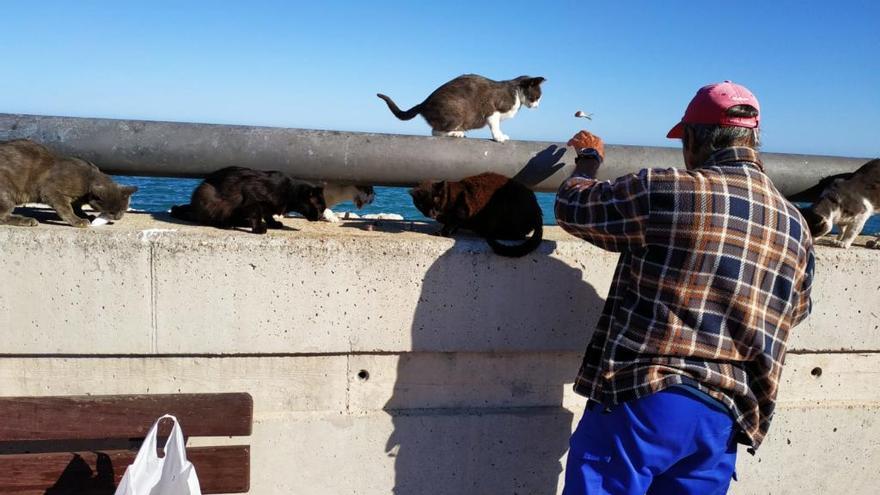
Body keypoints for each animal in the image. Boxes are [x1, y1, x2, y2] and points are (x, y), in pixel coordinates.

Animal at [0, 140, 138, 229]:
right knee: (2, 216)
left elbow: (77, 207)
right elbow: (66, 209)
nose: (118, 218)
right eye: (111, 212)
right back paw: (25, 220)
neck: (89, 178)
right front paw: (78, 221)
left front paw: (85, 215)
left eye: (123, 210)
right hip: (6, 192)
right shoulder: (51, 191)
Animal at [169, 167, 326, 234]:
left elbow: (267, 214)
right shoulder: (252, 197)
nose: (320, 217)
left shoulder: (266, 207)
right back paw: (227, 224)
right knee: (210, 219)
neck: (288, 191)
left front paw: (273, 223)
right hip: (208, 195)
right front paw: (258, 229)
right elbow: (257, 214)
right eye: (320, 208)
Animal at [376, 73, 544, 143]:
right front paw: (499, 137)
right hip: (457, 112)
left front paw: (501, 135)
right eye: (537, 96)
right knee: (435, 131)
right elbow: (495, 126)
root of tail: (424, 102)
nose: (537, 106)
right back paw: (456, 133)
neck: (516, 93)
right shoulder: (492, 110)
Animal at [408, 172, 544, 258]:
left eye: (435, 199)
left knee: (518, 235)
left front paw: (442, 232)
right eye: (421, 204)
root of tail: (538, 211)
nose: (431, 213)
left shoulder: (461, 210)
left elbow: (452, 222)